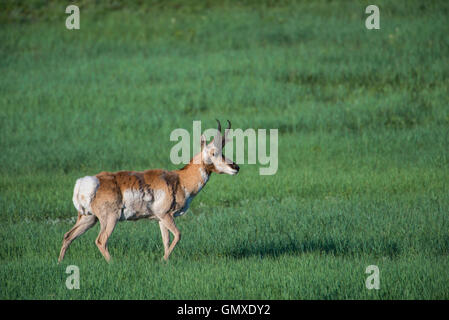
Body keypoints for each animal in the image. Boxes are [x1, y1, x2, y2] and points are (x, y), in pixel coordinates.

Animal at [58, 120, 238, 262]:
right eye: (213, 152)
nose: (236, 167)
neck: (180, 179)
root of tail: (89, 182)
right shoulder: (165, 215)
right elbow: (178, 235)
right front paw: (163, 260)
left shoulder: (161, 219)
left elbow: (166, 241)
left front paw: (165, 261)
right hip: (110, 218)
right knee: (101, 241)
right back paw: (113, 263)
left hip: (89, 218)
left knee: (68, 236)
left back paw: (60, 263)